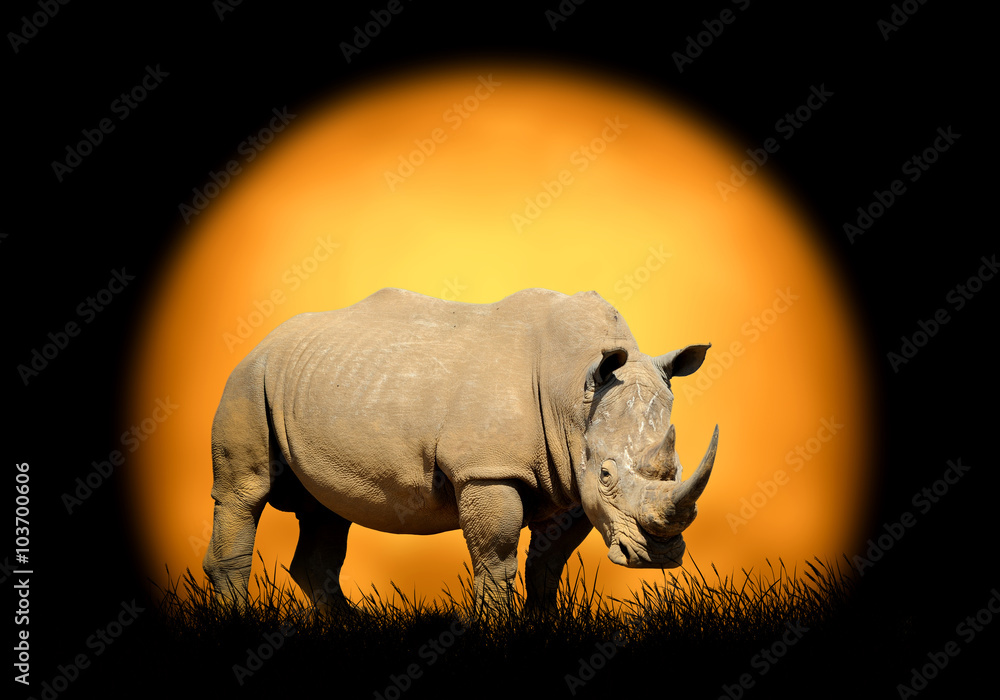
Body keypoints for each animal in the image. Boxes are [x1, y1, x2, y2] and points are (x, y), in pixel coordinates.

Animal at [204, 287, 718, 612]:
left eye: (677, 468)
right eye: (608, 475)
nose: (658, 555)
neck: (575, 389)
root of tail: (265, 339)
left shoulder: (571, 480)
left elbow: (547, 566)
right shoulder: (487, 469)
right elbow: (496, 563)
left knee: (326, 510)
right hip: (249, 378)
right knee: (243, 493)